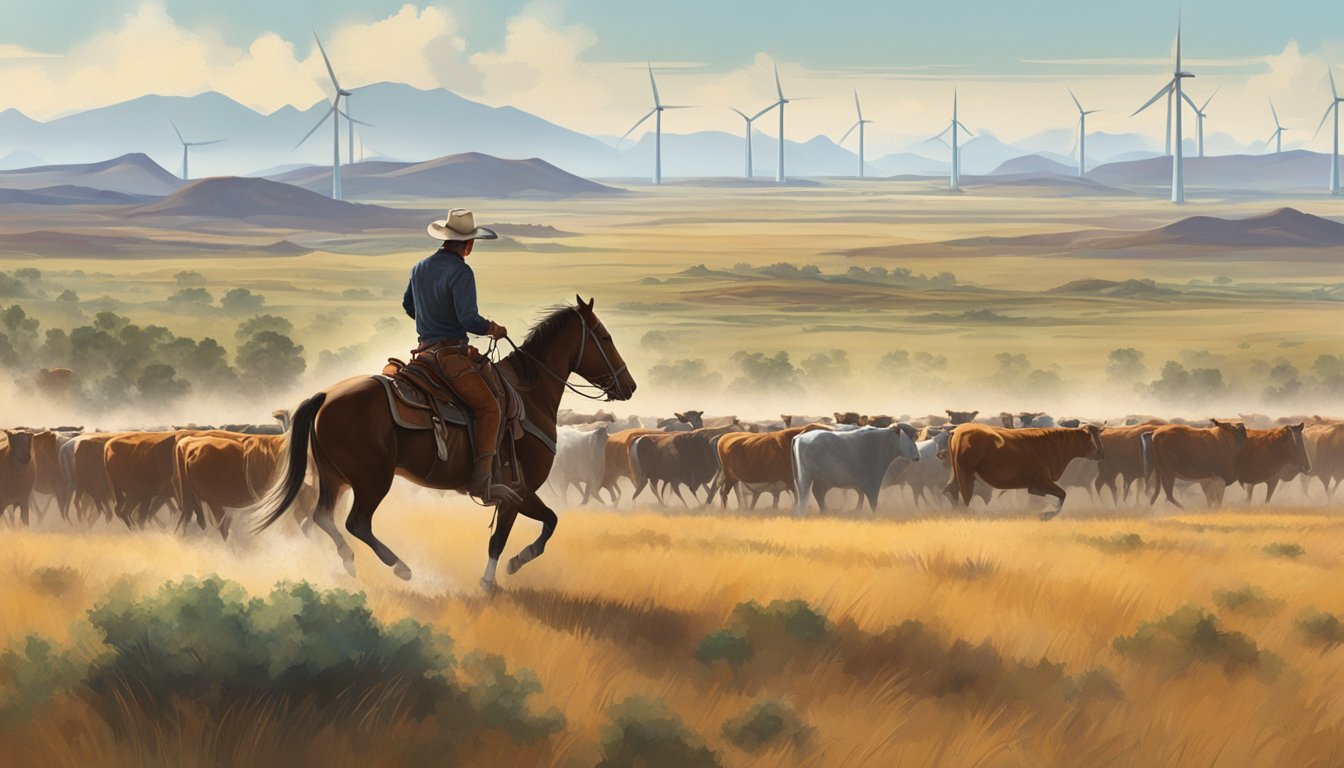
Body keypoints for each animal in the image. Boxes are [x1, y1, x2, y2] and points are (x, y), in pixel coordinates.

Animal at [255, 298, 634, 589]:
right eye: (604, 336)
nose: (628, 386)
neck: (530, 395)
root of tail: (325, 396)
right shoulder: (517, 490)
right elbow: (526, 530)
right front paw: (500, 574)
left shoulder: (516, 493)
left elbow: (535, 527)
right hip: (371, 480)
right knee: (355, 522)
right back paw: (400, 567)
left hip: (334, 478)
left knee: (319, 519)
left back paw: (344, 562)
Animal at [946, 419, 1102, 521]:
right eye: (1092, 438)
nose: (1101, 453)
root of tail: (957, 429)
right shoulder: (1040, 481)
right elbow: (1062, 494)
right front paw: (1046, 515)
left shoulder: (1034, 485)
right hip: (964, 475)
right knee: (966, 496)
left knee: (952, 491)